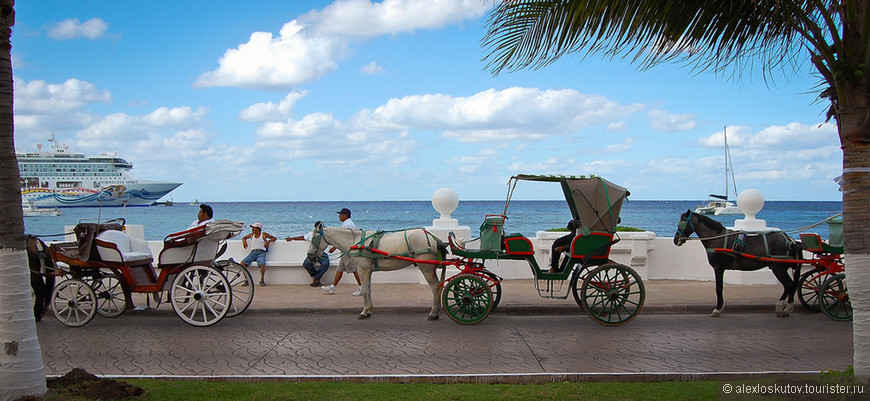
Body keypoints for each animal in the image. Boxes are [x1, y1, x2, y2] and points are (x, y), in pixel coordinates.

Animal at [306, 223, 450, 320]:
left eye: (313, 239)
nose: (310, 256)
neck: (356, 241)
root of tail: (433, 238)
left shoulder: (362, 270)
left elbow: (364, 291)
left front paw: (364, 312)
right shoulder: (367, 271)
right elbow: (368, 290)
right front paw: (369, 310)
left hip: (425, 267)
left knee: (435, 286)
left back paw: (433, 313)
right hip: (430, 267)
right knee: (438, 285)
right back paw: (436, 312)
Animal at [676, 211, 804, 318]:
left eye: (681, 222)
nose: (676, 239)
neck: (717, 238)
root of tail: (791, 241)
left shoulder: (718, 268)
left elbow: (718, 288)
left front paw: (718, 309)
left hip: (778, 268)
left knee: (788, 284)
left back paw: (779, 306)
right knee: (793, 285)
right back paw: (788, 307)